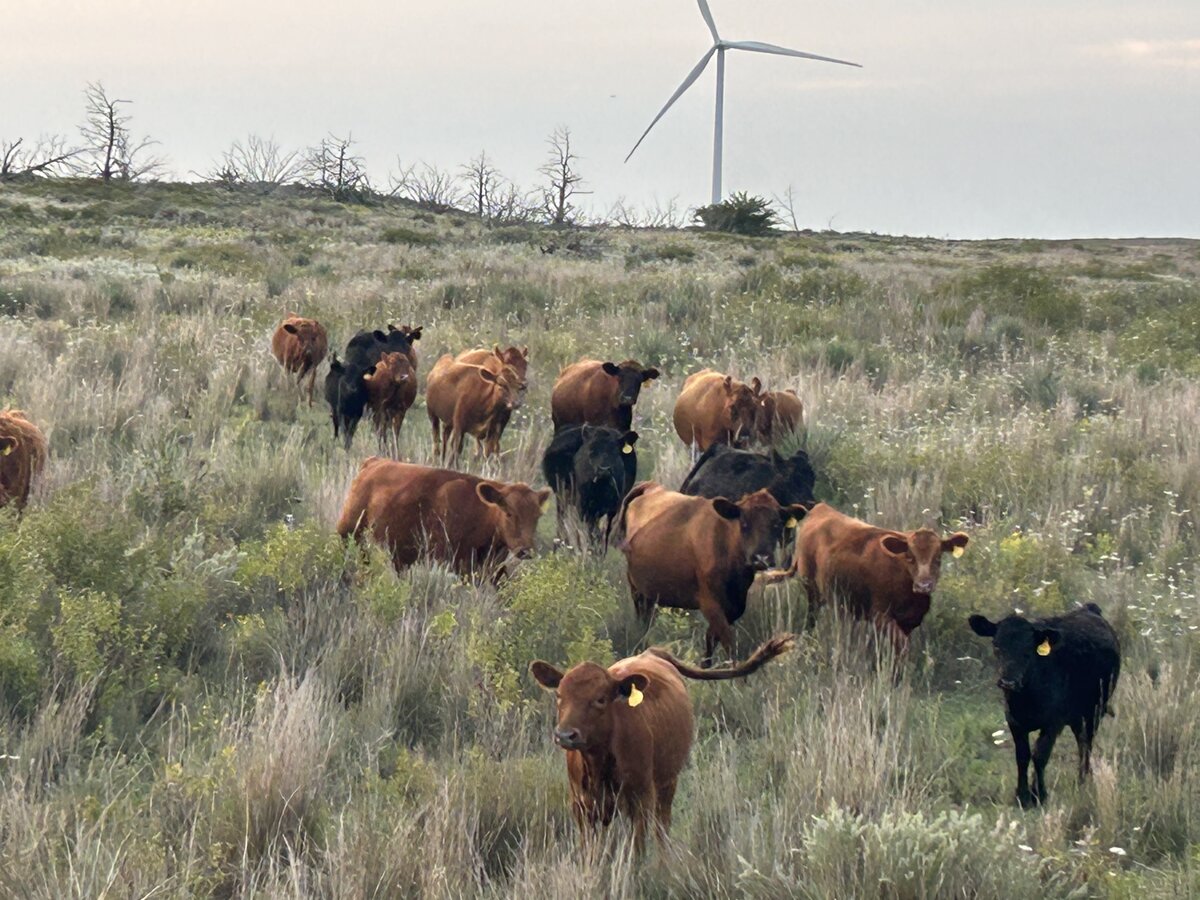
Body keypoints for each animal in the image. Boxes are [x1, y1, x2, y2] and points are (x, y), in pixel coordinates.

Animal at [336, 458, 551, 578]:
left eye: (537, 516)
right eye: (508, 512)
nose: (525, 550)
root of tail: (374, 462)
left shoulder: (492, 566)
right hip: (349, 530)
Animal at [530, 633, 795, 849]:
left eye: (600, 699)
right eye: (559, 695)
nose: (565, 735)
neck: (599, 765)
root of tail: (651, 652)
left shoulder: (641, 800)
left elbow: (636, 851)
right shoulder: (581, 805)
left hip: (668, 783)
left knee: (662, 829)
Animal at [619, 483, 807, 665]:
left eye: (776, 524)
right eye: (744, 523)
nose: (761, 557)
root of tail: (651, 487)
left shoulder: (734, 607)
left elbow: (711, 639)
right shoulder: (710, 604)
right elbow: (728, 643)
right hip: (637, 590)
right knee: (643, 623)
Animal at [761, 502, 969, 654]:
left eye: (938, 557)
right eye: (909, 556)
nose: (924, 585)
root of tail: (820, 509)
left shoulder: (909, 622)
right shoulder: (880, 615)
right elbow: (901, 647)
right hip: (812, 591)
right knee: (811, 619)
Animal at [969, 604, 1120, 808]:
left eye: (1028, 649)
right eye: (996, 645)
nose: (1008, 682)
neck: (1026, 698)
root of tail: (1089, 608)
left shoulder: (1053, 723)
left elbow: (1040, 755)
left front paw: (1039, 794)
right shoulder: (1014, 721)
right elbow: (1022, 756)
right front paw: (1022, 796)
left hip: (1094, 711)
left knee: (1086, 743)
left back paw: (1082, 780)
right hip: (1077, 716)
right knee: (1081, 740)